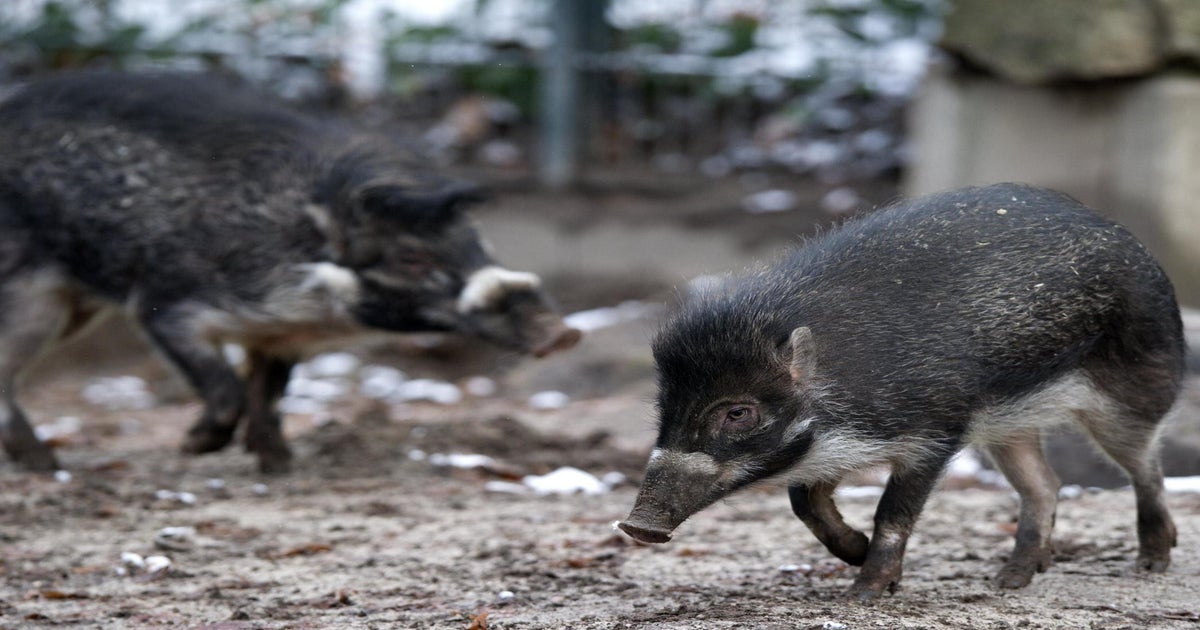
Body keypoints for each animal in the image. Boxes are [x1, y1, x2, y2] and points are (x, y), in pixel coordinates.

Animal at [0, 72, 580, 470]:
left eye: (478, 242)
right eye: (411, 258)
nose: (563, 332)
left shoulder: (280, 338)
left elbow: (270, 394)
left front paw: (278, 465)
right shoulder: (164, 305)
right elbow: (226, 387)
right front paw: (193, 449)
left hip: (72, 306)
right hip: (30, 294)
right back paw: (48, 467)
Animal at [619, 182, 1180, 600]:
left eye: (738, 413)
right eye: (666, 405)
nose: (635, 526)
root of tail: (1130, 240)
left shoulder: (935, 431)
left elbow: (892, 511)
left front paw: (863, 594)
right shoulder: (834, 447)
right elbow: (804, 501)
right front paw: (855, 552)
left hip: (1134, 391)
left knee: (1146, 467)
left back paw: (1151, 564)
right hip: (1009, 424)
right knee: (1044, 483)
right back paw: (1009, 581)